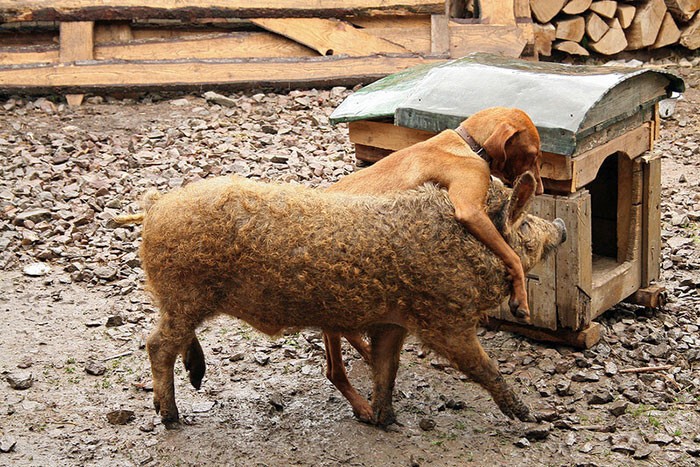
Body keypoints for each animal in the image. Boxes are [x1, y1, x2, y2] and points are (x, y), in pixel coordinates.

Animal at [326, 106, 544, 424]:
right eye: (534, 153)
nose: (540, 189)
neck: (468, 144)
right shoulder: (469, 208)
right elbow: (513, 257)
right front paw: (521, 300)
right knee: (334, 371)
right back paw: (361, 404)